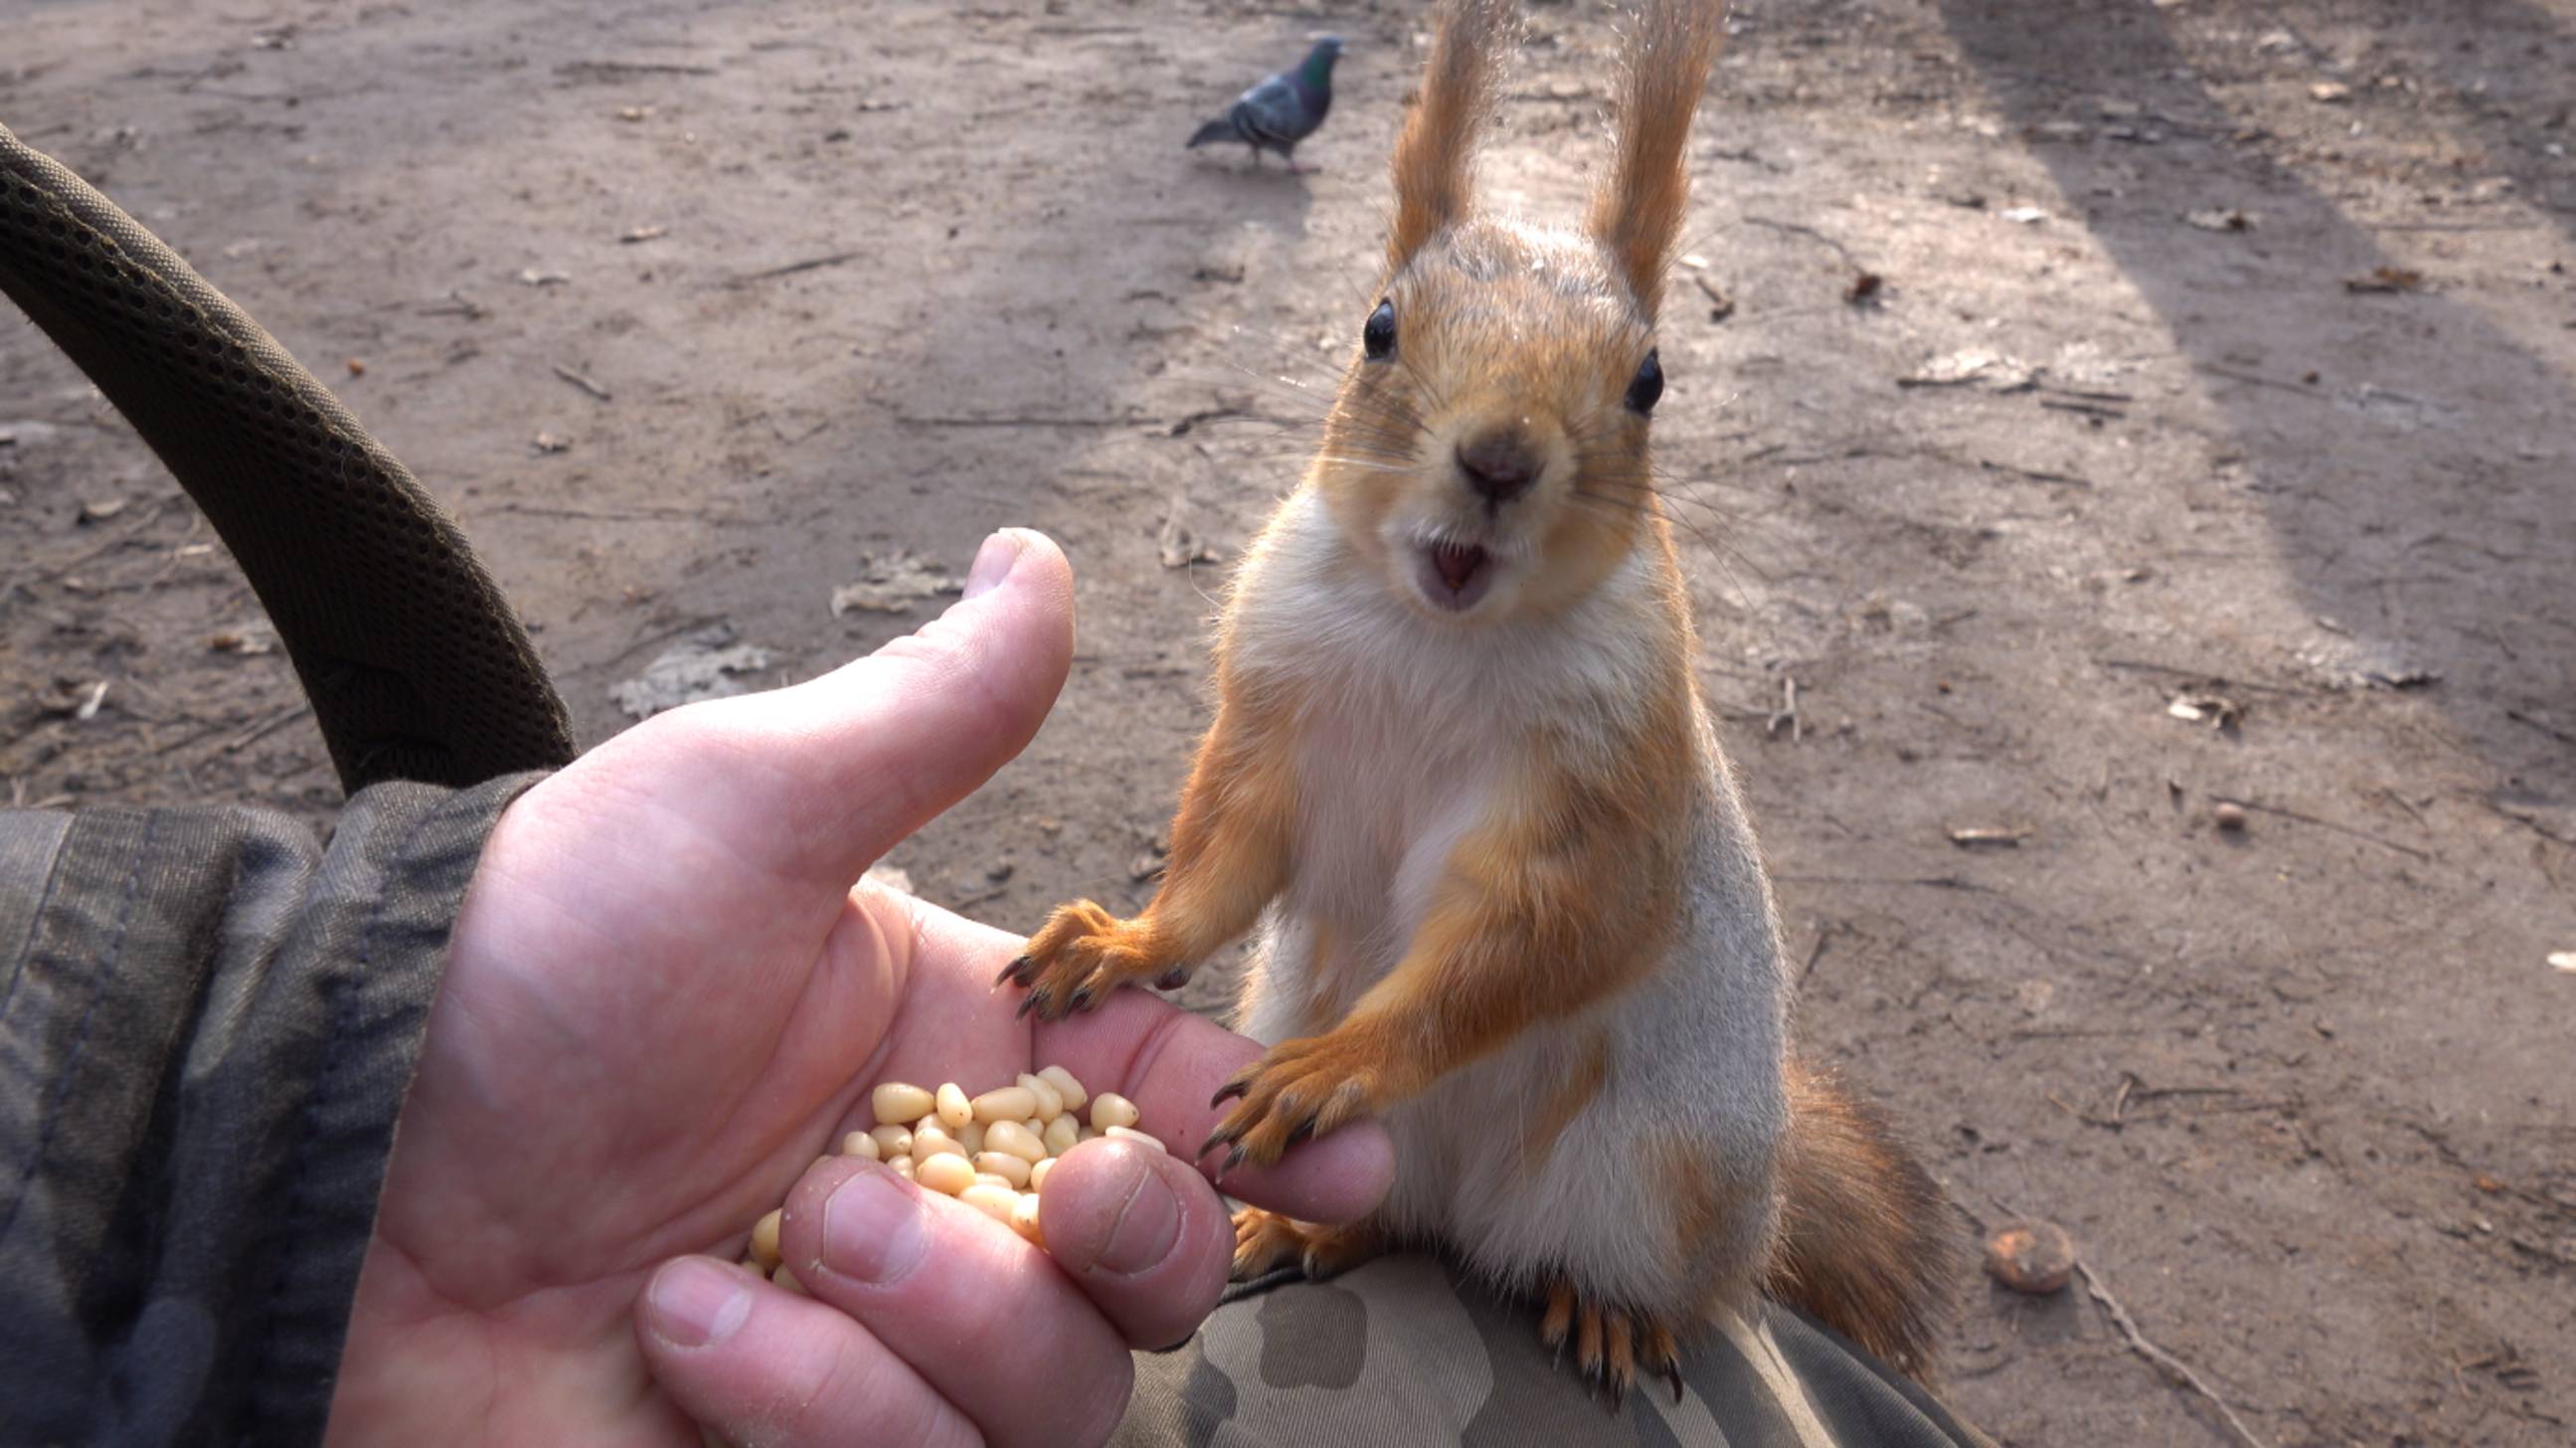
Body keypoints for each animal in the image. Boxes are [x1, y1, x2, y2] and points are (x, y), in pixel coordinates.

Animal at [1004, 0, 1947, 1401]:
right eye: (1376, 327)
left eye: (1650, 379)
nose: (1497, 458)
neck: (1434, 636)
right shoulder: (1272, 715)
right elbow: (1223, 857)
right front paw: (1122, 942)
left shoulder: (1597, 801)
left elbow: (1524, 944)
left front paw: (1342, 1064)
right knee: (1392, 1219)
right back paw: (1298, 1223)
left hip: (1650, 1175)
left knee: (1634, 1271)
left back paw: (1605, 1310)